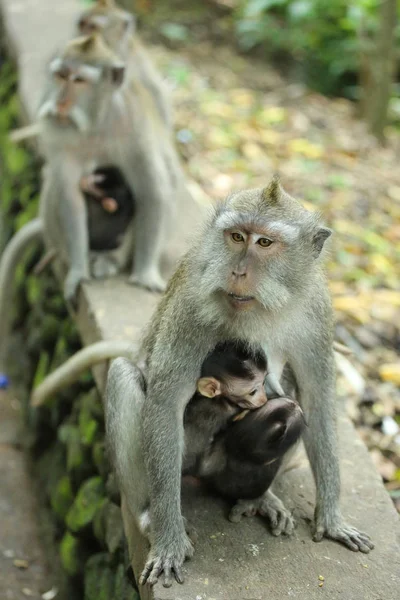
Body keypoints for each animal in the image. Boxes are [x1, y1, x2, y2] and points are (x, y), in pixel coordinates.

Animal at [105, 176, 372, 588]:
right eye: (236, 237)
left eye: (264, 243)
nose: (238, 273)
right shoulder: (191, 303)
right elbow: (165, 403)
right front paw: (168, 541)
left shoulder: (317, 310)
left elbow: (317, 398)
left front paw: (332, 518)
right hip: (183, 462)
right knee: (123, 374)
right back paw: (151, 517)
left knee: (292, 400)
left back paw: (260, 498)